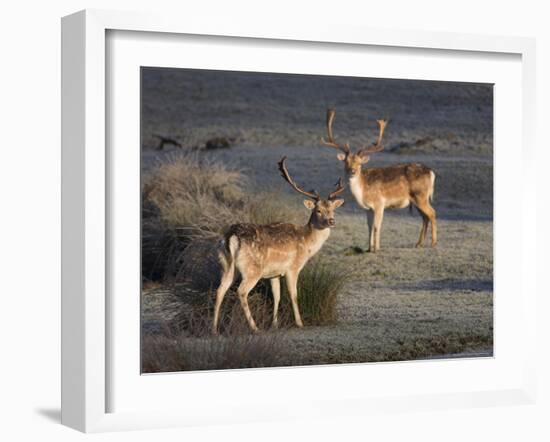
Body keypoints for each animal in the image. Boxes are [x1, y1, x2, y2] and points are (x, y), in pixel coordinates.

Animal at [212, 157, 344, 334]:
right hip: (252, 269)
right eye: (318, 210)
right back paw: (254, 327)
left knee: (220, 290)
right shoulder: (292, 268)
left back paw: (214, 329)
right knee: (242, 291)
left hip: (226, 265)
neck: (306, 244)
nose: (331, 221)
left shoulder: (274, 273)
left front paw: (274, 324)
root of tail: (231, 237)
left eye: (332, 210)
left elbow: (277, 295)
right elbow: (293, 295)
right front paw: (300, 323)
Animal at [322, 109, 438, 252]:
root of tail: (431, 172)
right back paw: (419, 244)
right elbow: (369, 227)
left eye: (359, 163)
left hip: (420, 195)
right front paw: (369, 248)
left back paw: (433, 243)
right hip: (417, 199)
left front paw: (376, 248)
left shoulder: (379, 203)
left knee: (432, 213)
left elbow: (377, 226)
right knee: (425, 217)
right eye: (346, 162)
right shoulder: (368, 209)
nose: (352, 171)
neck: (363, 193)